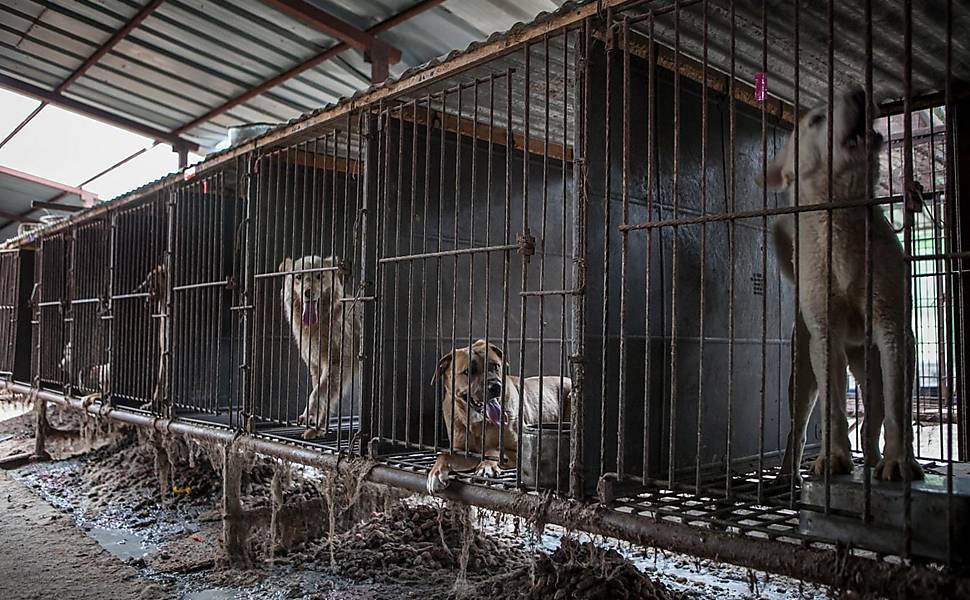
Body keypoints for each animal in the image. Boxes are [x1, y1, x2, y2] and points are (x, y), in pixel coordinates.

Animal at [278, 254, 362, 440]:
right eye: (299, 277)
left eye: (319, 276)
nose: (308, 292)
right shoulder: (316, 367)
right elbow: (325, 397)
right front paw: (318, 429)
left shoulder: (337, 365)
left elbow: (316, 393)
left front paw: (309, 415)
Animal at [424, 340, 568, 494]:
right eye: (468, 371)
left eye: (496, 366)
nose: (496, 387)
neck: (478, 423)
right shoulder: (462, 451)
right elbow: (444, 455)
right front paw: (435, 473)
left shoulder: (518, 451)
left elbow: (493, 450)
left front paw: (486, 465)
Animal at [764, 85, 924, 482]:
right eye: (817, 118)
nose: (859, 91)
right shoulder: (825, 337)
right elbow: (834, 409)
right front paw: (833, 458)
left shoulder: (893, 330)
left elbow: (898, 411)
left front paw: (898, 461)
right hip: (802, 376)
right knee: (798, 426)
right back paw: (788, 474)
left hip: (871, 367)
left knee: (873, 418)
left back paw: (875, 459)